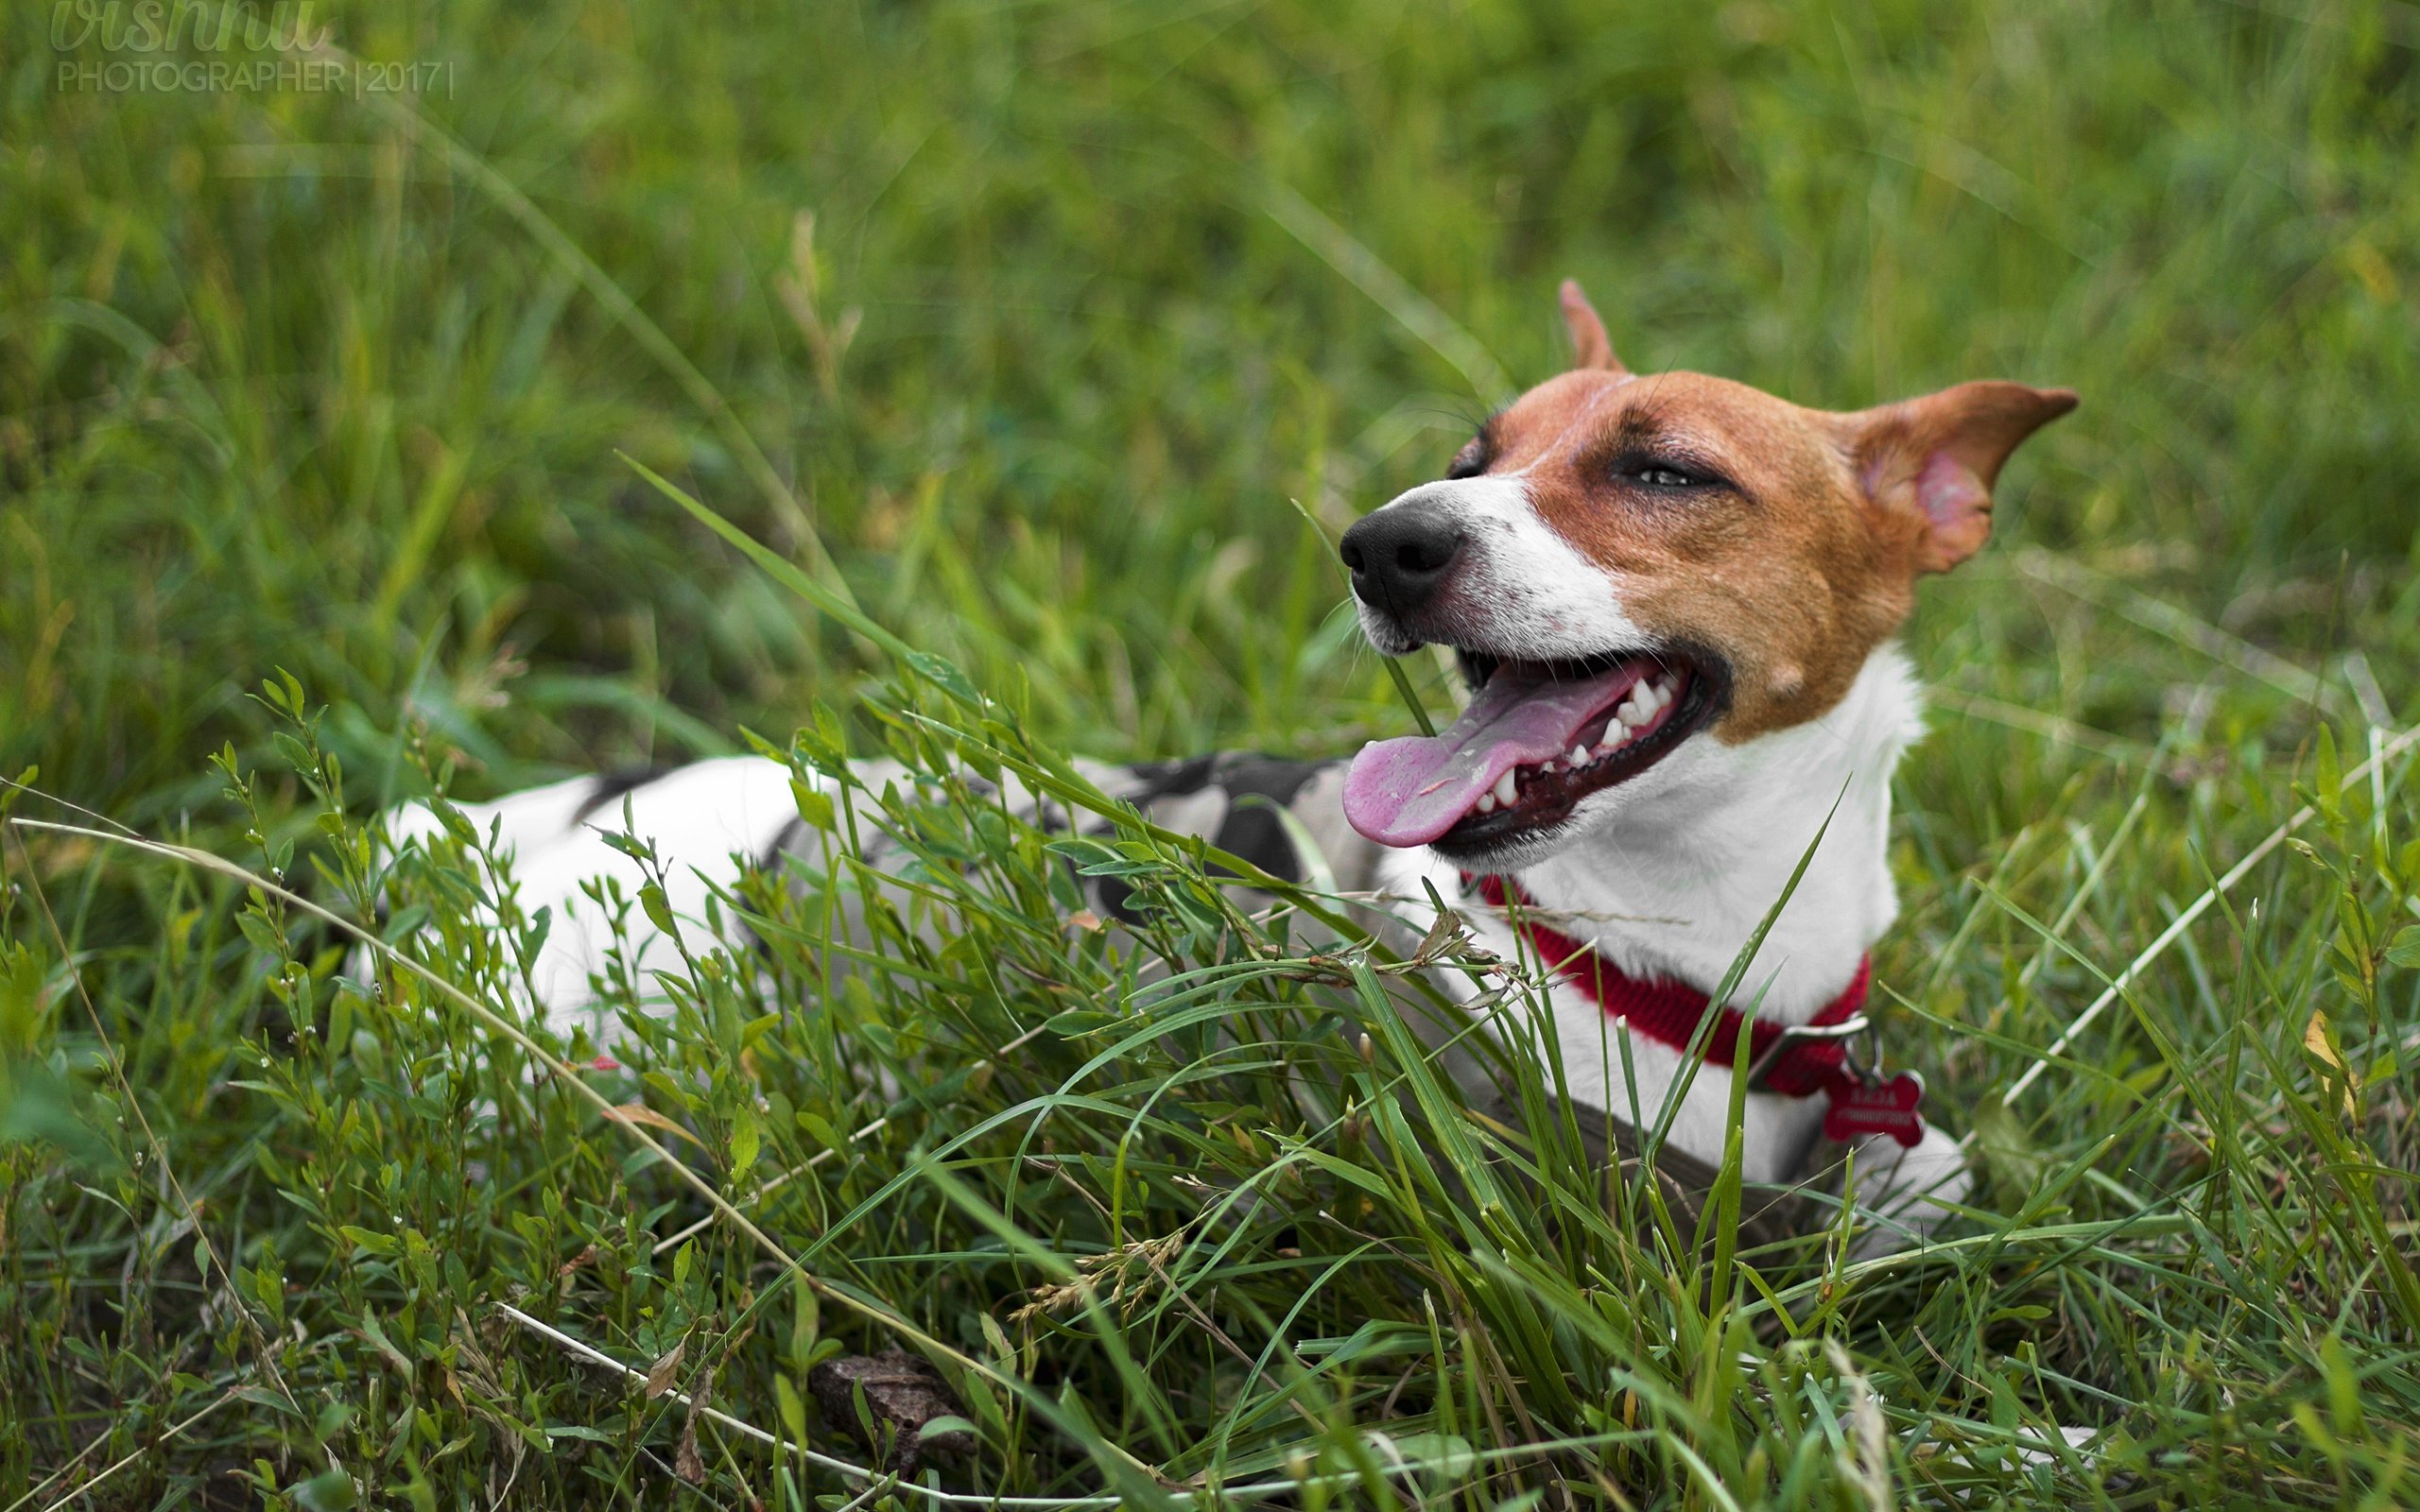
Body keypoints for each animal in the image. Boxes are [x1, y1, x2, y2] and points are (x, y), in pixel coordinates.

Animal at [387, 283, 2071, 1247]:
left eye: (1666, 470)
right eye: (1467, 461)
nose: (1383, 544)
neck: (1672, 975)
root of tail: (506, 834)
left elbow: (1935, 1179)